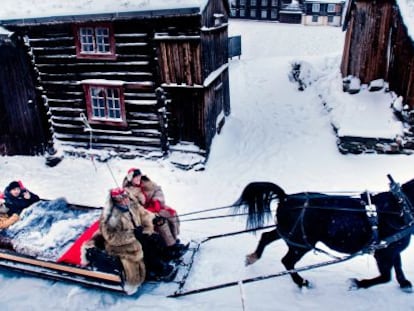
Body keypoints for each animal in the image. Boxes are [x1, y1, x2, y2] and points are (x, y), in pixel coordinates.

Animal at [233, 178, 414, 292]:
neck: (400, 208)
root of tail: (286, 198)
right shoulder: (384, 252)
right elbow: (386, 277)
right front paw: (356, 283)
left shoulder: (392, 249)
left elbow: (398, 267)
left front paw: (405, 284)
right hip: (302, 244)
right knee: (287, 261)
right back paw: (302, 282)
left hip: (289, 234)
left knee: (266, 237)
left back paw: (253, 257)